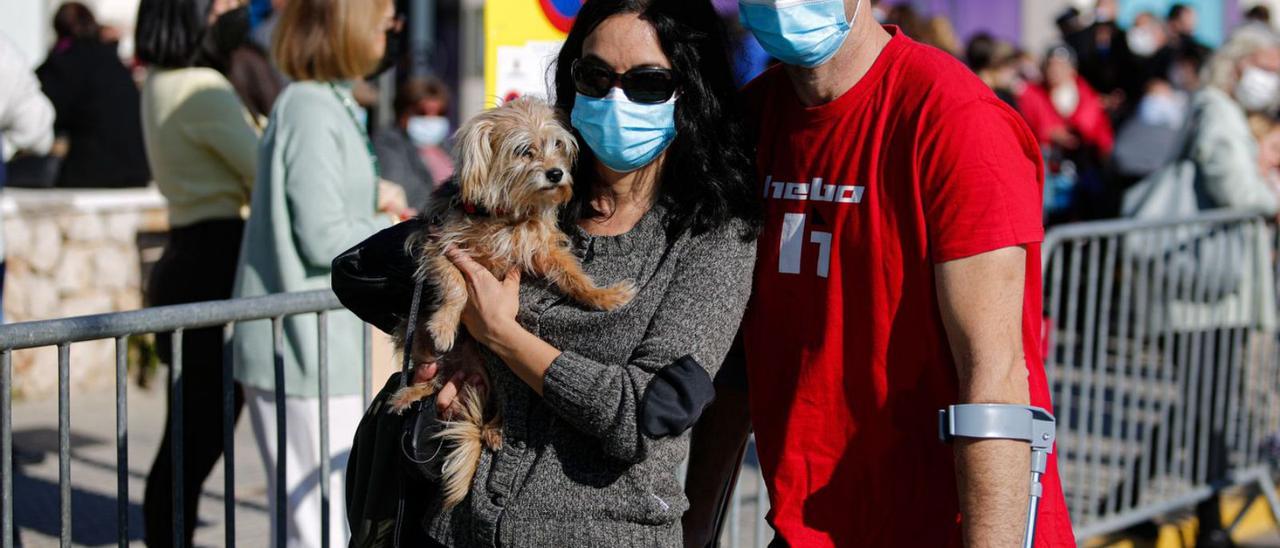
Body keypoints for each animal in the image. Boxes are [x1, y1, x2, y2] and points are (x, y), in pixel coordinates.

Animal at [386, 97, 632, 509]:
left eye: (557, 145)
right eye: (524, 151)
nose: (556, 174)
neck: (505, 215)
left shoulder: (544, 249)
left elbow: (574, 276)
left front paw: (603, 296)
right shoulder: (443, 248)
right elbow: (456, 287)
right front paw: (444, 324)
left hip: (500, 371)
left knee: (495, 403)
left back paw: (494, 429)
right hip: (421, 340)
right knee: (434, 379)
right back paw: (409, 394)